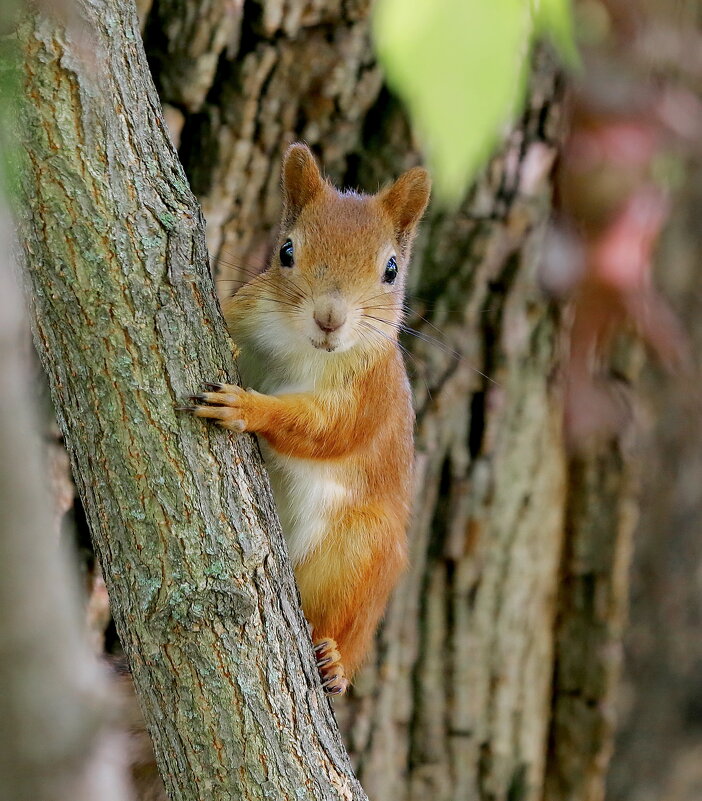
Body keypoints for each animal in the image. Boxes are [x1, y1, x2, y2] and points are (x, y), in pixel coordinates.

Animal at [187, 144, 432, 692]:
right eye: (286, 251)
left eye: (391, 269)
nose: (329, 318)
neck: (301, 350)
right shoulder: (245, 310)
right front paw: (234, 350)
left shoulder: (368, 397)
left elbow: (323, 430)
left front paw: (248, 408)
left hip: (363, 551)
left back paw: (334, 660)